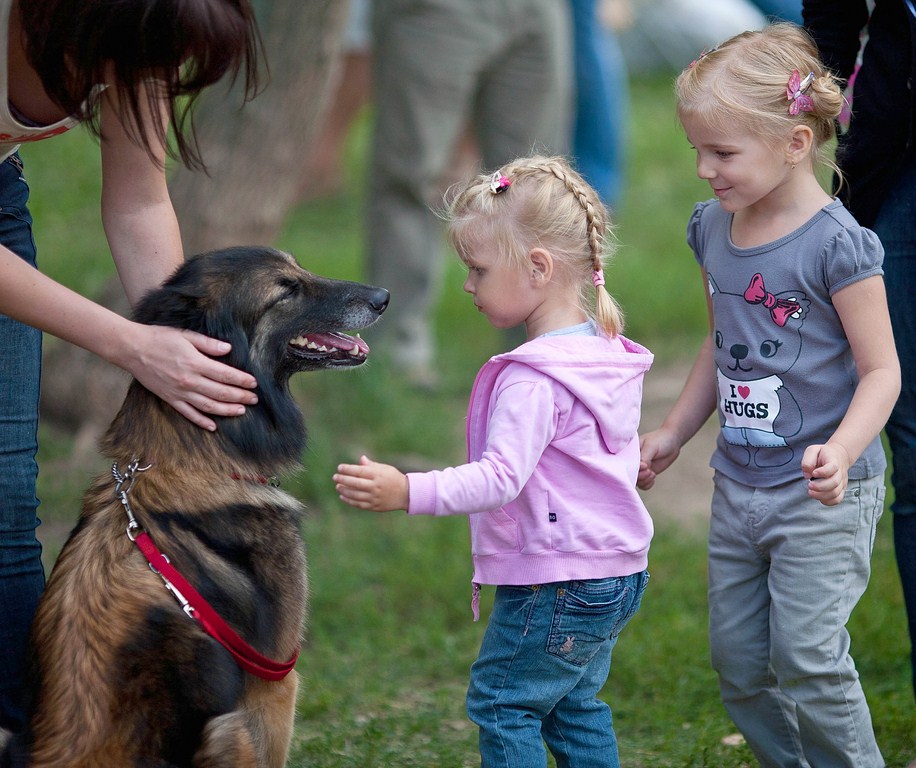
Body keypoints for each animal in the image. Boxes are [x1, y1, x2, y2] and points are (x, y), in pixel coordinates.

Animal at [0, 248, 388, 768]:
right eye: (286, 288)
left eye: (298, 267)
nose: (383, 298)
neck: (189, 455)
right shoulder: (276, 681)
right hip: (231, 730)